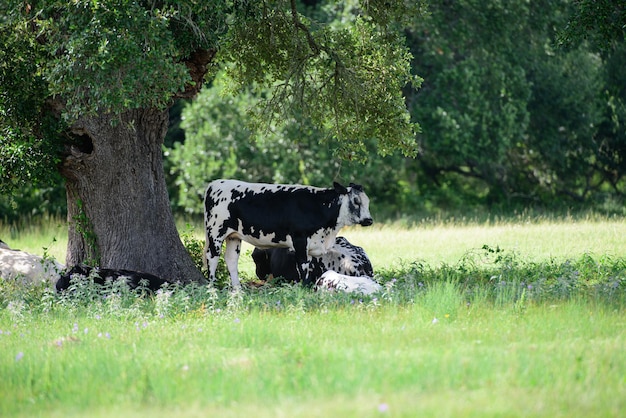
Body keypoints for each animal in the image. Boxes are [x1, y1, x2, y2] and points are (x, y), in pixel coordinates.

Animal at [204, 180, 370, 288]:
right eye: (356, 201)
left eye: (367, 202)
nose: (369, 220)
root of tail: (215, 183)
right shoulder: (300, 240)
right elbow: (303, 266)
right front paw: (304, 288)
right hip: (215, 232)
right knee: (212, 257)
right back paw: (211, 286)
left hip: (234, 236)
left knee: (231, 259)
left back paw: (237, 289)